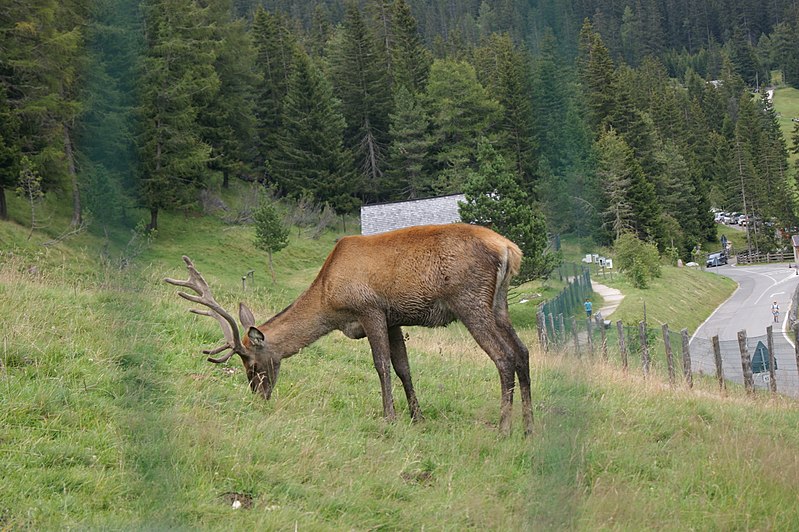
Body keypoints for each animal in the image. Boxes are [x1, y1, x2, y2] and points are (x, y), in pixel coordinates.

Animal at [166, 222, 536, 434]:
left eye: (253, 365)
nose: (259, 396)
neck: (330, 301)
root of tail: (510, 249)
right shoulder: (393, 318)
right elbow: (403, 367)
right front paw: (417, 418)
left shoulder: (369, 308)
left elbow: (382, 365)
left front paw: (390, 417)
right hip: (499, 304)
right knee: (522, 351)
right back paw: (528, 428)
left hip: (468, 300)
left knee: (503, 357)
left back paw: (503, 429)